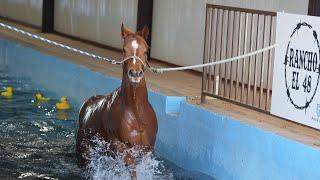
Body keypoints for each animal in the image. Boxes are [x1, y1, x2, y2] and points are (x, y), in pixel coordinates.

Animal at [76, 24, 159, 179]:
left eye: (146, 50)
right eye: (124, 49)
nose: (135, 74)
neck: (136, 112)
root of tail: (87, 105)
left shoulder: (148, 148)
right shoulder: (117, 144)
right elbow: (131, 163)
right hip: (84, 153)